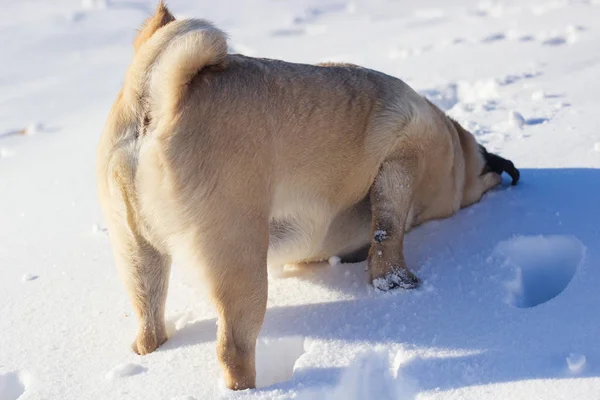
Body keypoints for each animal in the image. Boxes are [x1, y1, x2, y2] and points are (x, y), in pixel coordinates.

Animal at [96, 2, 516, 390]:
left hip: (138, 253)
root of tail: (153, 103)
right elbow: (388, 231)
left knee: (149, 323)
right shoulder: (402, 163)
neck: (453, 148)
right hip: (237, 258)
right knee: (233, 346)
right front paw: (394, 279)